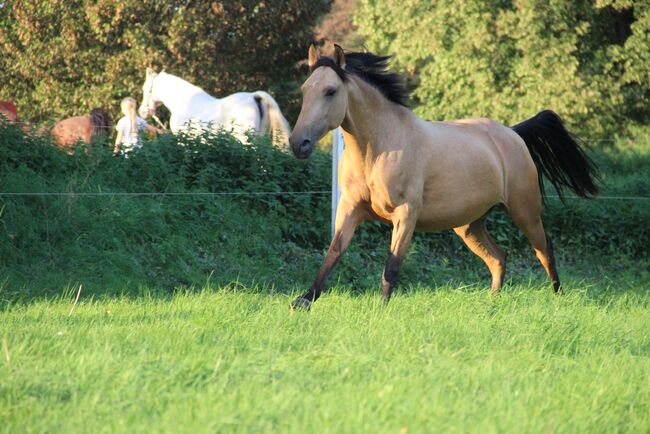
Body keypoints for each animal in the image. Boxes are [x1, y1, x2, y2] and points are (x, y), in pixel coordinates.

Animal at [288, 40, 596, 310]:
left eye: (330, 91)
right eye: (305, 90)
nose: (298, 143)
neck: (378, 150)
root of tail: (514, 133)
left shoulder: (405, 214)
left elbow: (392, 266)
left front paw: (380, 309)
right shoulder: (350, 208)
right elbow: (333, 254)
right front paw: (302, 302)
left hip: (525, 210)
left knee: (544, 250)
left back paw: (558, 300)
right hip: (470, 225)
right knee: (498, 258)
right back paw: (491, 305)